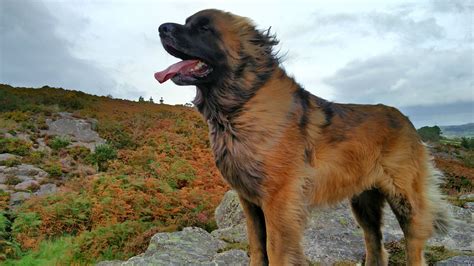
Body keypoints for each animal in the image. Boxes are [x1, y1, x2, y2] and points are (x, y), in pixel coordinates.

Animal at [155, 8, 448, 266]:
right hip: (363, 200)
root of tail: (405, 119)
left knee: (413, 243)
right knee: (375, 242)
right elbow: (257, 248)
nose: (161, 28)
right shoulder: (250, 202)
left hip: (405, 198)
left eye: (204, 28)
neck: (240, 106)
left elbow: (276, 251)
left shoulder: (279, 201)